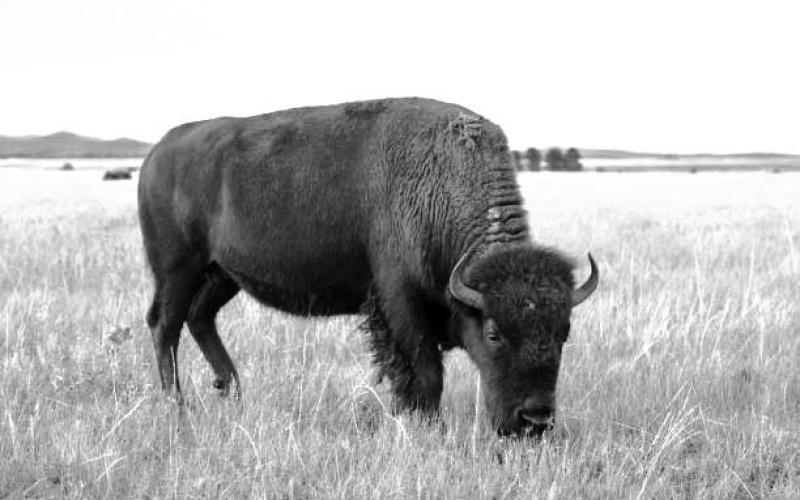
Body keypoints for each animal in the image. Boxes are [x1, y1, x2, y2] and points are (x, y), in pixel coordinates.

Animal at [137, 97, 598, 436]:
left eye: (564, 332)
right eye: (494, 333)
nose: (535, 420)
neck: (441, 181)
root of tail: (158, 151)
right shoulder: (400, 301)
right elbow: (425, 374)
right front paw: (427, 427)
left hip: (220, 275)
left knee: (200, 318)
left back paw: (231, 391)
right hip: (177, 269)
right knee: (165, 325)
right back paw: (176, 406)